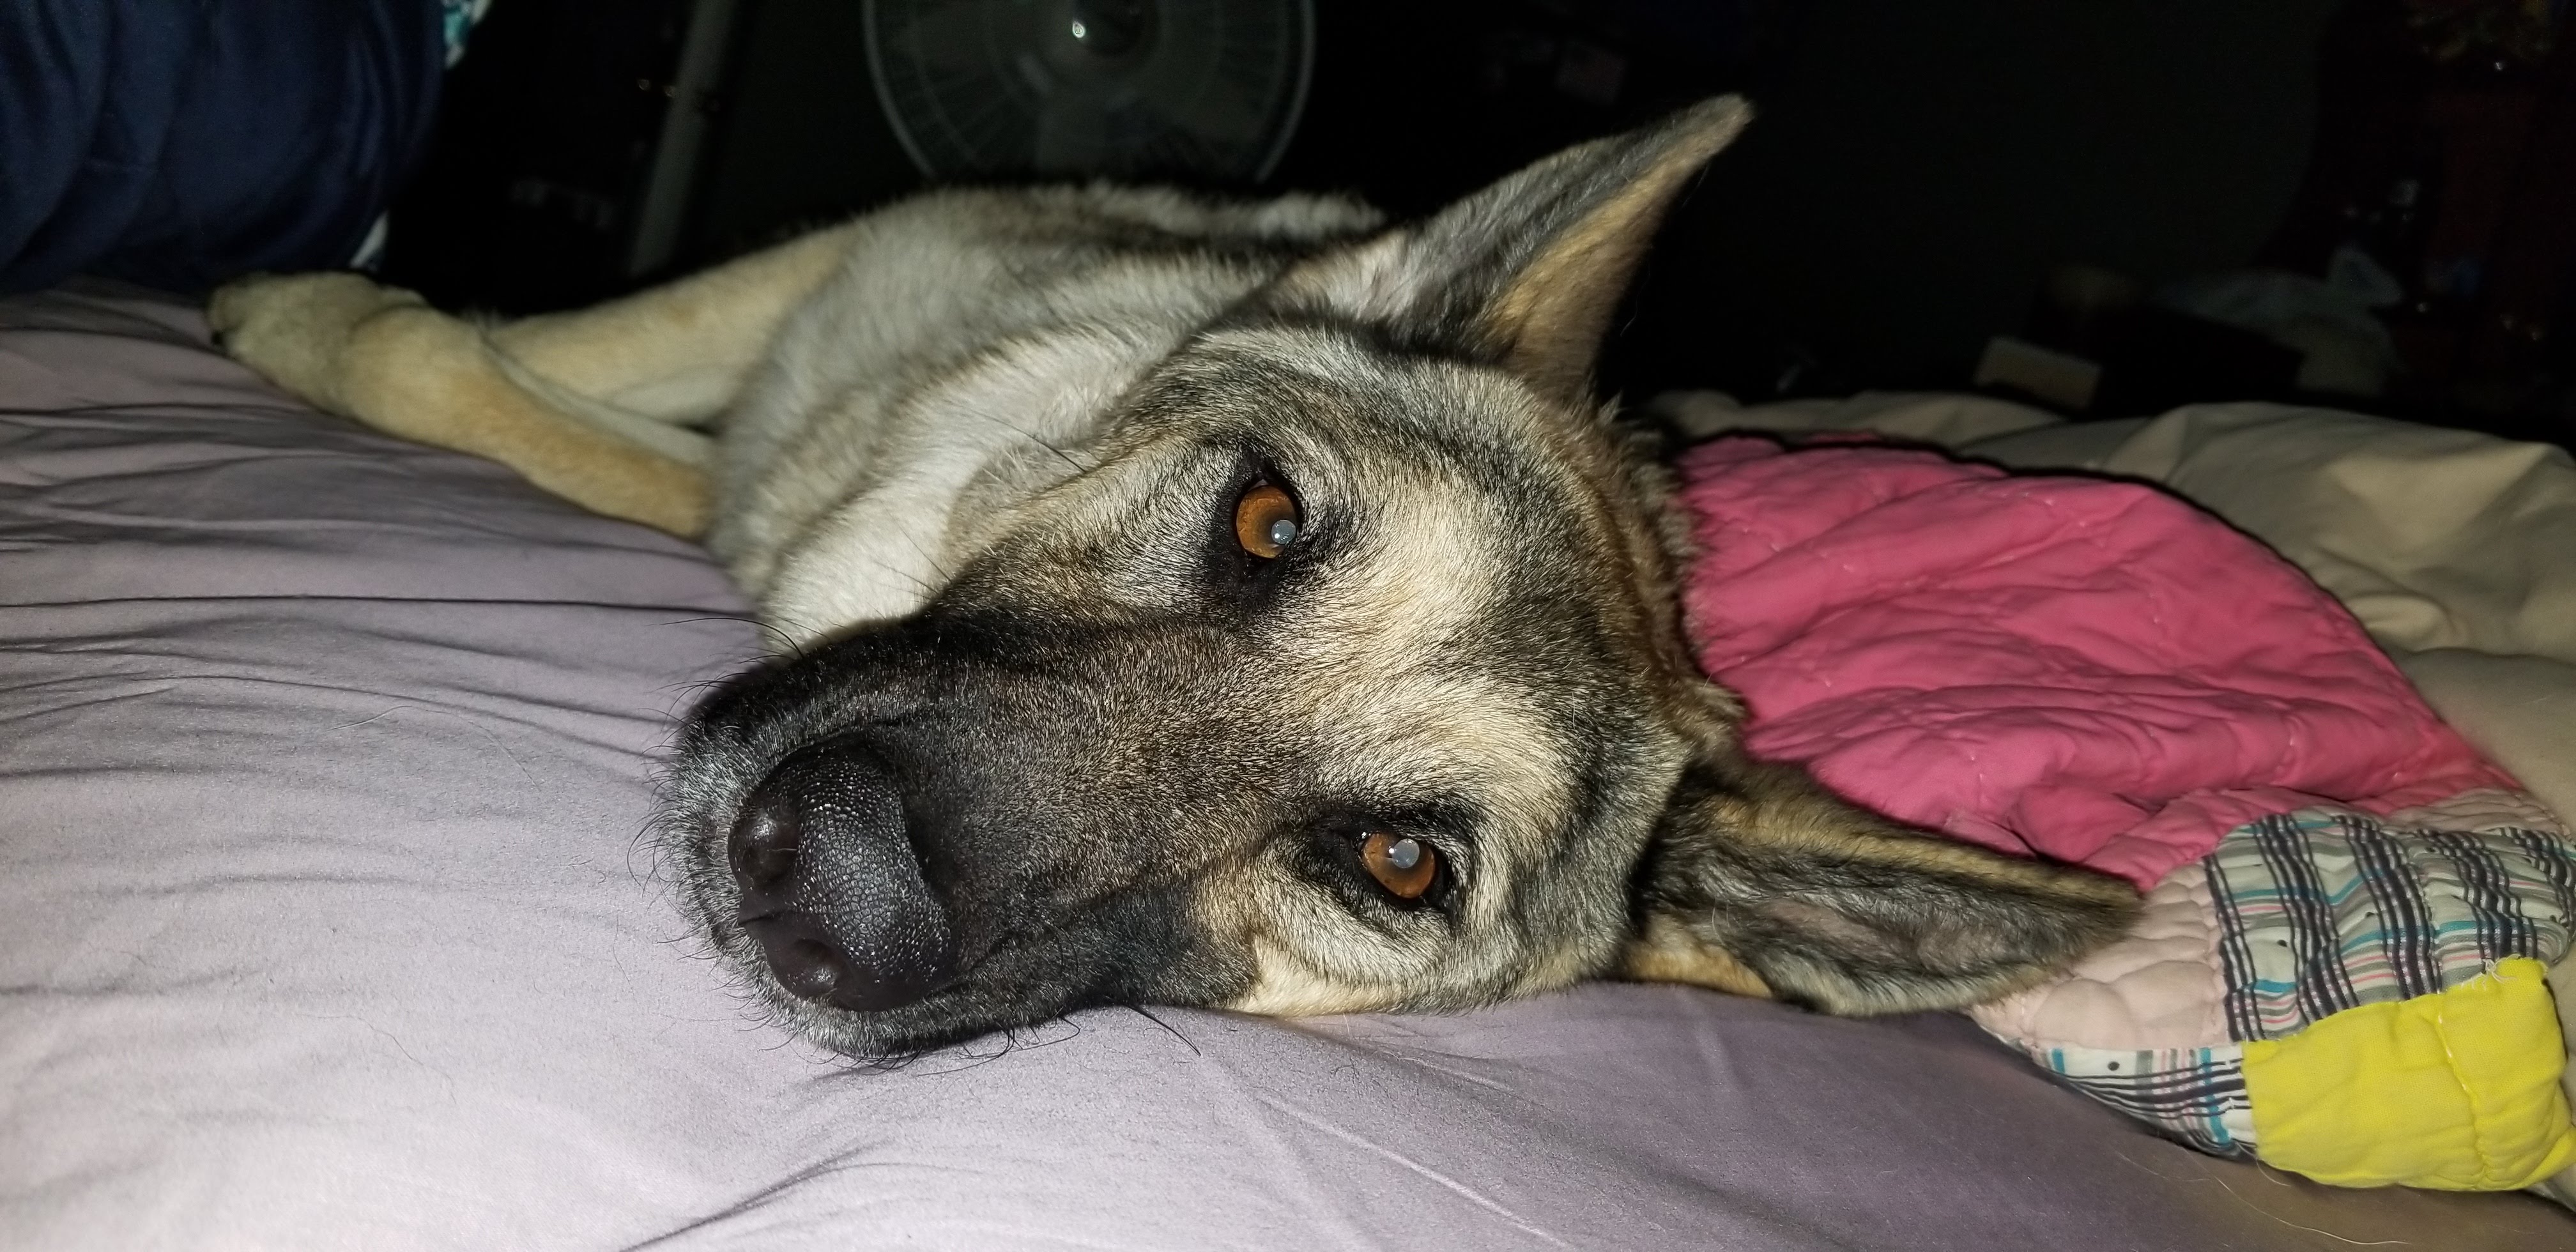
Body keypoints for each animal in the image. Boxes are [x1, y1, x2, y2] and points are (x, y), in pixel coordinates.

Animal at [210, 97, 2138, 1061]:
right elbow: (521, 349)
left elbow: (524, 406)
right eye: (1269, 523)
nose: (825, 891)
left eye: (1399, 864)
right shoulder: (829, 278)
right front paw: (311, 306)